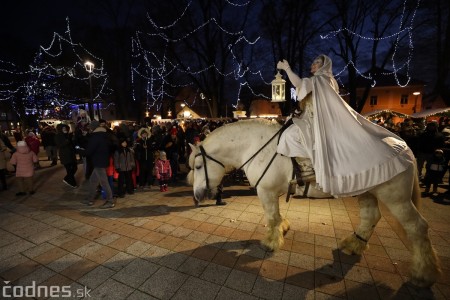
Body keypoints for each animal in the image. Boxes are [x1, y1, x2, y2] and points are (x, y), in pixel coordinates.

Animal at [186, 118, 440, 288]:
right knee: (371, 217)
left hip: (396, 198)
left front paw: (271, 242)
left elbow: (271, 216)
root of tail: (403, 144)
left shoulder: (266, 192)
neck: (257, 147)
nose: (197, 195)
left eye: (198, 166)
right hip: (366, 191)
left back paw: (423, 274)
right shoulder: (273, 192)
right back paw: (354, 245)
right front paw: (282, 229)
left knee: (417, 227)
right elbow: (277, 216)